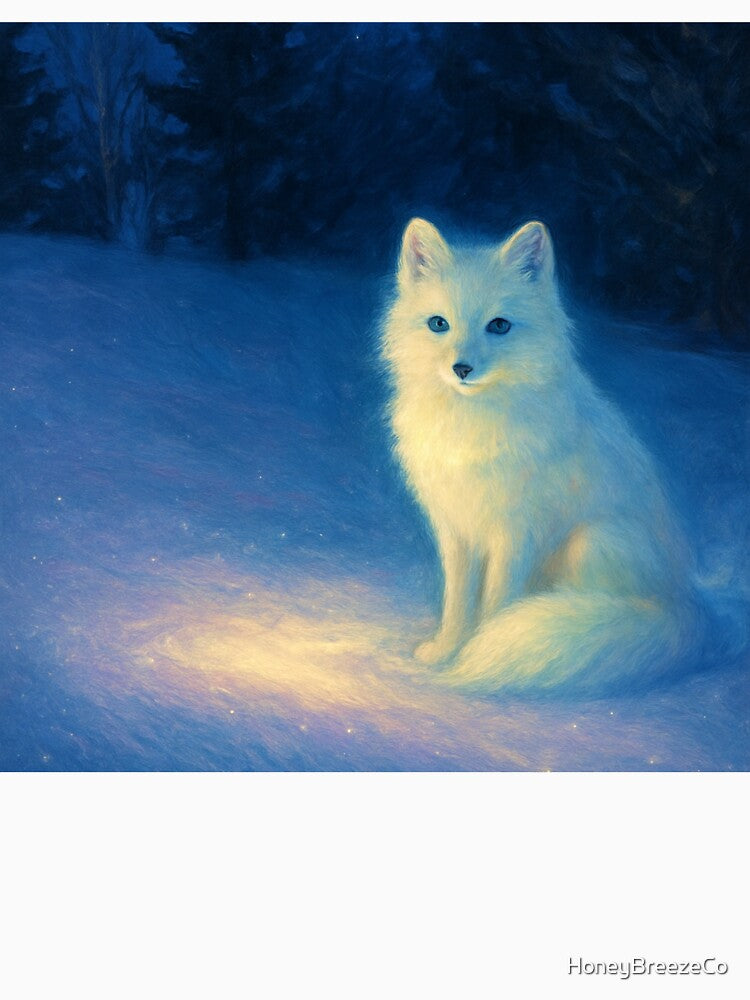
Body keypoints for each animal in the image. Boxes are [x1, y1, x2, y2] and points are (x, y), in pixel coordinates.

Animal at [381, 218, 703, 693]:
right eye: (438, 324)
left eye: (499, 326)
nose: (461, 369)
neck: (471, 427)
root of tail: (683, 607)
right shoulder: (456, 528)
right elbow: (457, 601)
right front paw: (447, 651)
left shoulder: (516, 534)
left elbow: (496, 603)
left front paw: (478, 650)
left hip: (590, 543)